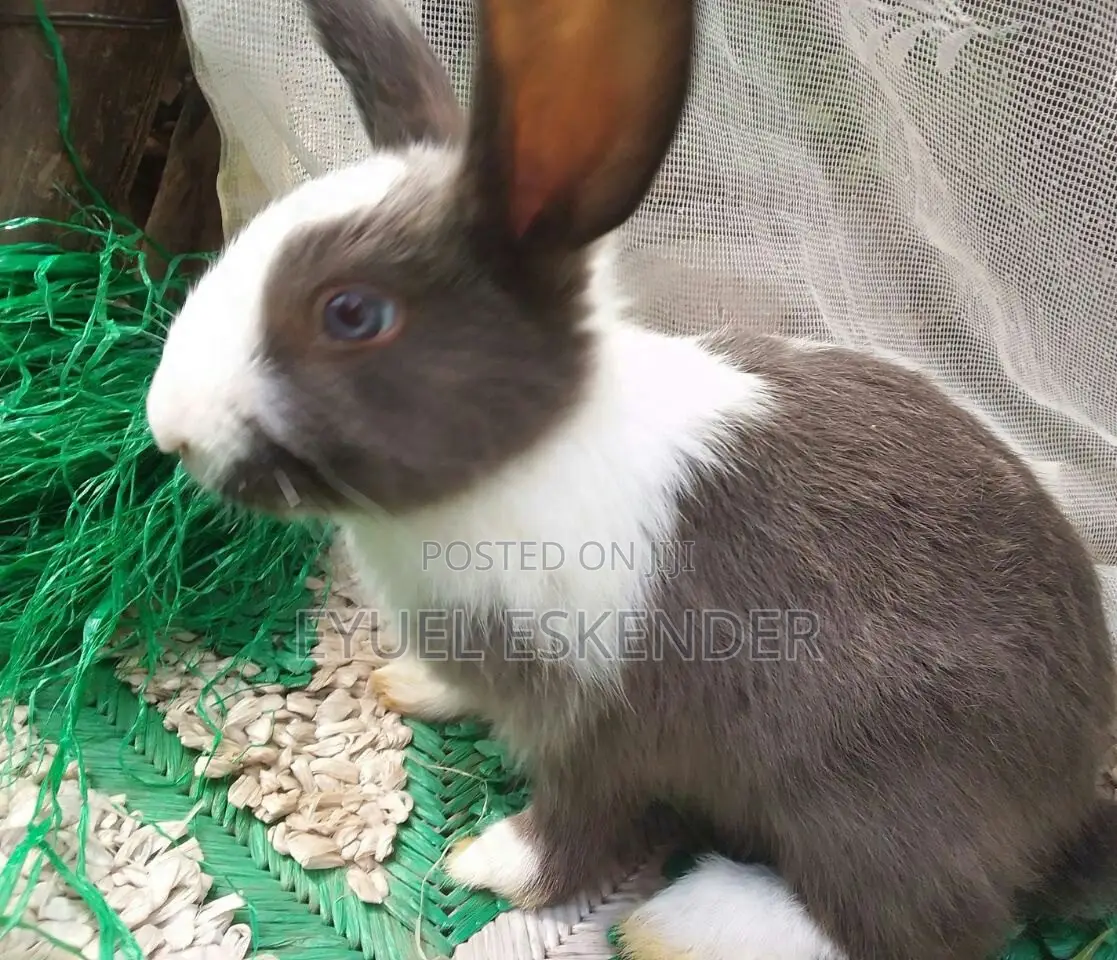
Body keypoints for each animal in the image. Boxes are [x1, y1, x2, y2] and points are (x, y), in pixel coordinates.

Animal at [143, 0, 1117, 957]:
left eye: (352, 314)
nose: (168, 429)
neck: (530, 451)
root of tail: (1066, 806)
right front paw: (415, 686)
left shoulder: (599, 721)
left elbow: (579, 824)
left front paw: (487, 864)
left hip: (869, 796)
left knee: (918, 923)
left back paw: (679, 925)